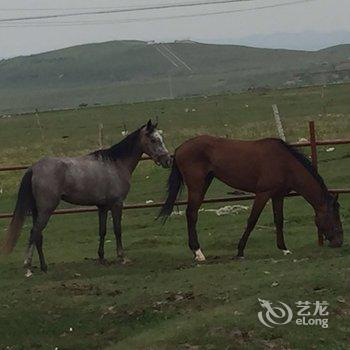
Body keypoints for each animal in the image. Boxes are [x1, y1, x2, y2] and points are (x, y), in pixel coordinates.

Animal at [2, 120, 172, 276]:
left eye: (161, 138)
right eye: (154, 139)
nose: (168, 160)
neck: (115, 165)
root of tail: (34, 168)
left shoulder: (102, 207)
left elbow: (102, 231)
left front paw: (102, 257)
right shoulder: (117, 204)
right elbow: (117, 229)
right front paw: (121, 257)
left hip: (37, 211)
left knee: (38, 236)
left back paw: (44, 267)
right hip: (46, 210)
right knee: (34, 233)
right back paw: (28, 267)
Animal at [159, 135, 344, 262]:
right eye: (333, 216)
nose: (339, 242)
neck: (284, 163)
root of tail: (179, 149)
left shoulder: (277, 195)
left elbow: (279, 220)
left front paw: (284, 248)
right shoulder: (263, 194)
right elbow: (252, 220)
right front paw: (240, 251)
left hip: (205, 183)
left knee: (192, 214)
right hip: (196, 186)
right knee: (191, 214)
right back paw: (198, 253)